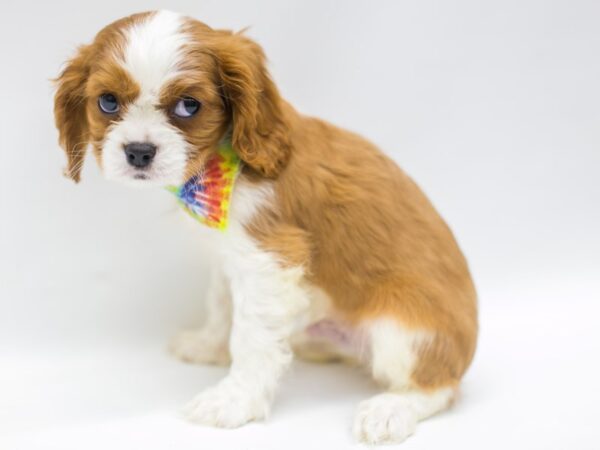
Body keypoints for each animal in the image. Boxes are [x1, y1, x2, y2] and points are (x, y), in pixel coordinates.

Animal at [55, 9, 478, 442]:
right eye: (107, 102)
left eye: (189, 106)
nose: (139, 152)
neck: (222, 164)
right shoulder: (228, 256)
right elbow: (221, 305)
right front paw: (209, 345)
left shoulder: (270, 259)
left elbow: (252, 338)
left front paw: (232, 400)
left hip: (405, 329)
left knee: (441, 387)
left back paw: (392, 408)